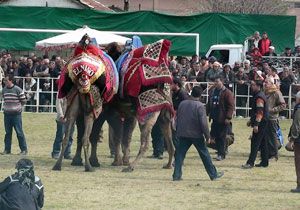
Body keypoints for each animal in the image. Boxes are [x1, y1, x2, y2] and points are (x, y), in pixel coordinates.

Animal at [51, 34, 118, 172]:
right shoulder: (99, 112)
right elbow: (92, 135)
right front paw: (94, 161)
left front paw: (77, 160)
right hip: (91, 110)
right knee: (86, 137)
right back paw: (89, 166)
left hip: (74, 105)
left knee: (67, 137)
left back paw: (57, 165)